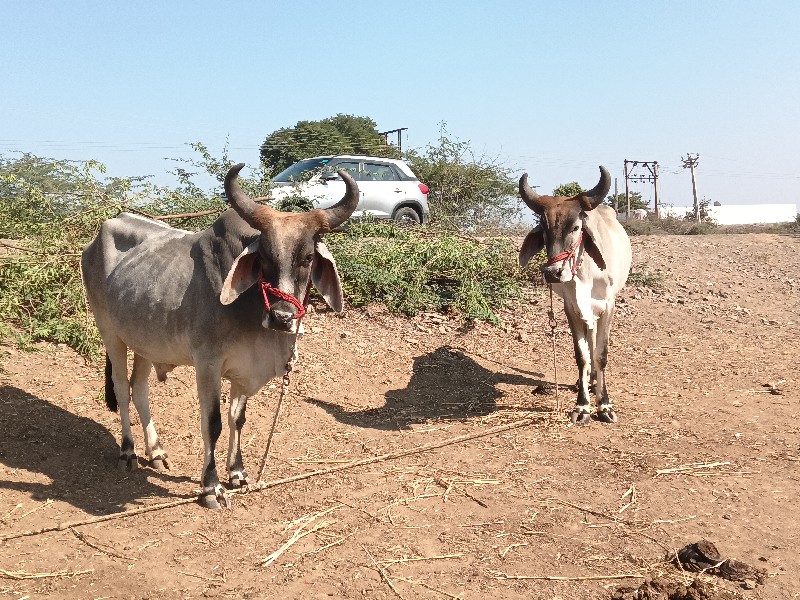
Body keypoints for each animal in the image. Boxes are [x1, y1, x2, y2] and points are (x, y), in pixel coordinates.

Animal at [81, 163, 356, 506]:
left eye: (307, 258)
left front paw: (237, 472)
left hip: (146, 341)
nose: (282, 317)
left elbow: (238, 417)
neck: (252, 315)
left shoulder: (245, 368)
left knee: (139, 388)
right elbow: (213, 424)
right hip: (110, 333)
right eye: (263, 257)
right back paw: (128, 452)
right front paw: (211, 486)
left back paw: (155, 451)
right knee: (121, 387)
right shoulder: (208, 365)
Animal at [520, 166, 632, 424]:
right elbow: (582, 356)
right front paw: (583, 405)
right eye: (544, 231)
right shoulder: (571, 308)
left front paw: (604, 404)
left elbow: (601, 354)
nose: (552, 273)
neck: (586, 274)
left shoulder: (608, 305)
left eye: (576, 227)